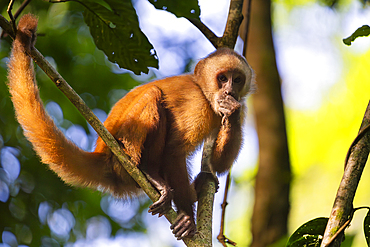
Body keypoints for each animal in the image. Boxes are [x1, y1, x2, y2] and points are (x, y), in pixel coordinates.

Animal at [7, 13, 254, 239]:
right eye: (222, 78)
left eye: (237, 80)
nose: (229, 90)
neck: (204, 92)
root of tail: (102, 154)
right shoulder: (198, 104)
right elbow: (174, 151)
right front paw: (186, 216)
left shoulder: (238, 106)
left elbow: (219, 163)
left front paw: (231, 112)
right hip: (121, 157)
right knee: (152, 96)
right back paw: (149, 172)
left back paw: (198, 184)